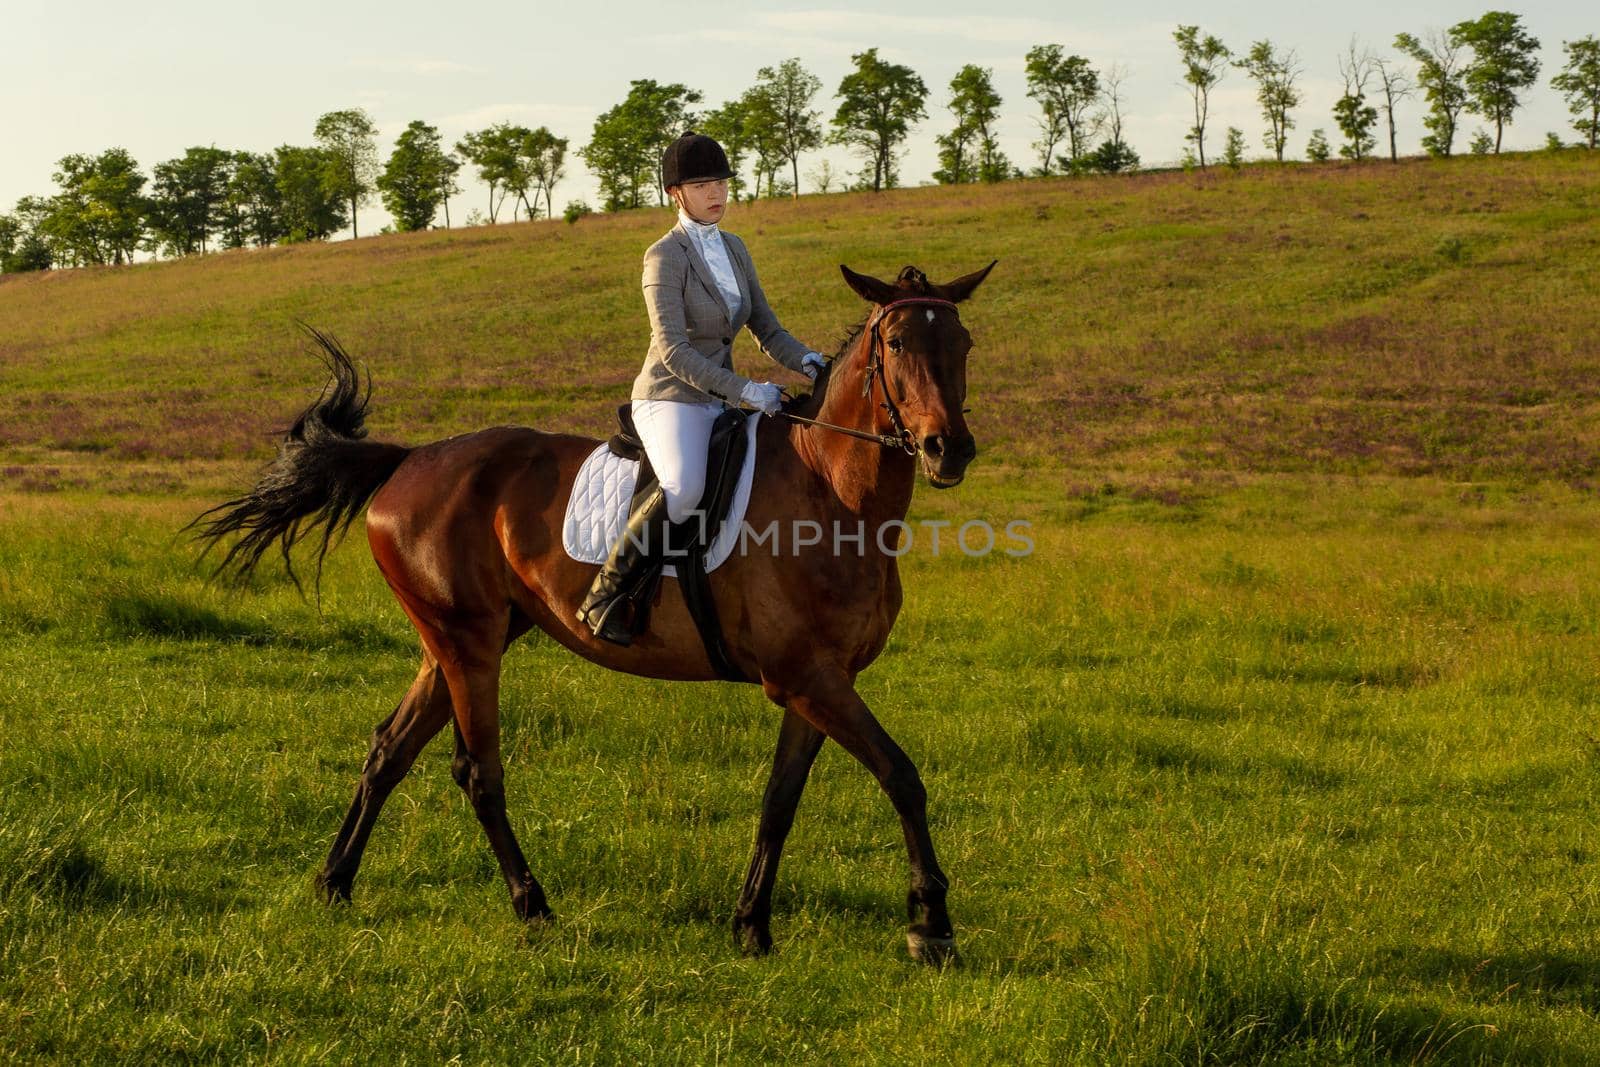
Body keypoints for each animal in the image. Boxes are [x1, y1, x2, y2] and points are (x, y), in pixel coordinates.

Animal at [193, 260, 992, 966]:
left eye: (962, 344)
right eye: (897, 343)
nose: (948, 449)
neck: (834, 494)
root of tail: (409, 460)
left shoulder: (819, 683)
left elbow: (780, 800)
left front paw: (751, 927)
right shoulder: (807, 679)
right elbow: (903, 776)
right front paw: (931, 927)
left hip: (458, 640)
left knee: (390, 750)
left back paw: (334, 883)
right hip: (467, 642)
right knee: (478, 771)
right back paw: (532, 904)